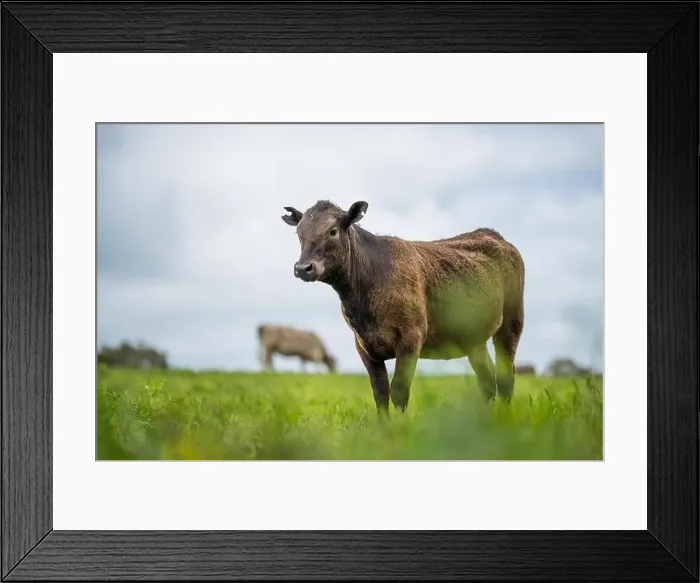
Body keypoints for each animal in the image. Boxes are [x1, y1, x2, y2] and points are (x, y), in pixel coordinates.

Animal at [282, 199, 525, 414]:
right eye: (299, 233)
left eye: (332, 231)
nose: (303, 268)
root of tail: (491, 233)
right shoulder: (363, 345)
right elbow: (380, 393)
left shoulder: (411, 337)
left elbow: (399, 390)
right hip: (472, 338)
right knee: (487, 379)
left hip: (512, 320)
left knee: (506, 375)